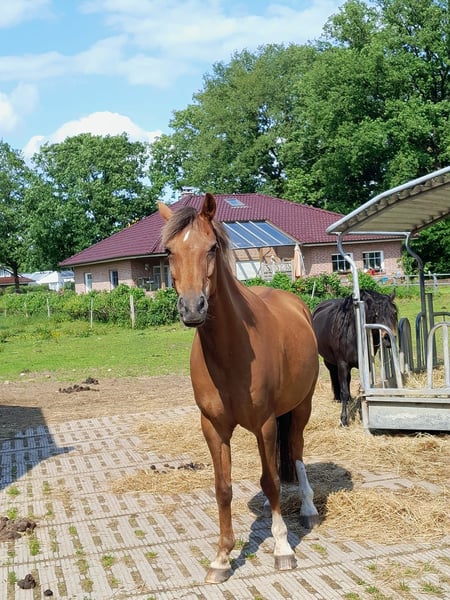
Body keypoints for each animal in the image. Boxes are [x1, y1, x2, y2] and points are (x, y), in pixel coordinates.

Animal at [159, 193, 320, 584]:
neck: (231, 351)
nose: (192, 308)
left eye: (212, 247)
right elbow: (223, 487)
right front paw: (221, 557)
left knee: (296, 451)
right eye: (169, 251)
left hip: (301, 407)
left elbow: (273, 481)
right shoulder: (213, 427)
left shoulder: (264, 423)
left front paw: (283, 548)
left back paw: (308, 508)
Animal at [312, 289, 398, 427]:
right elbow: (344, 391)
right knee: (334, 375)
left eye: (394, 313)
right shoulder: (342, 364)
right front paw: (343, 420)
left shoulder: (365, 364)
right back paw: (337, 398)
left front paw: (363, 415)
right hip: (330, 361)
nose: (388, 339)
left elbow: (363, 388)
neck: (353, 333)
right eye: (376, 315)